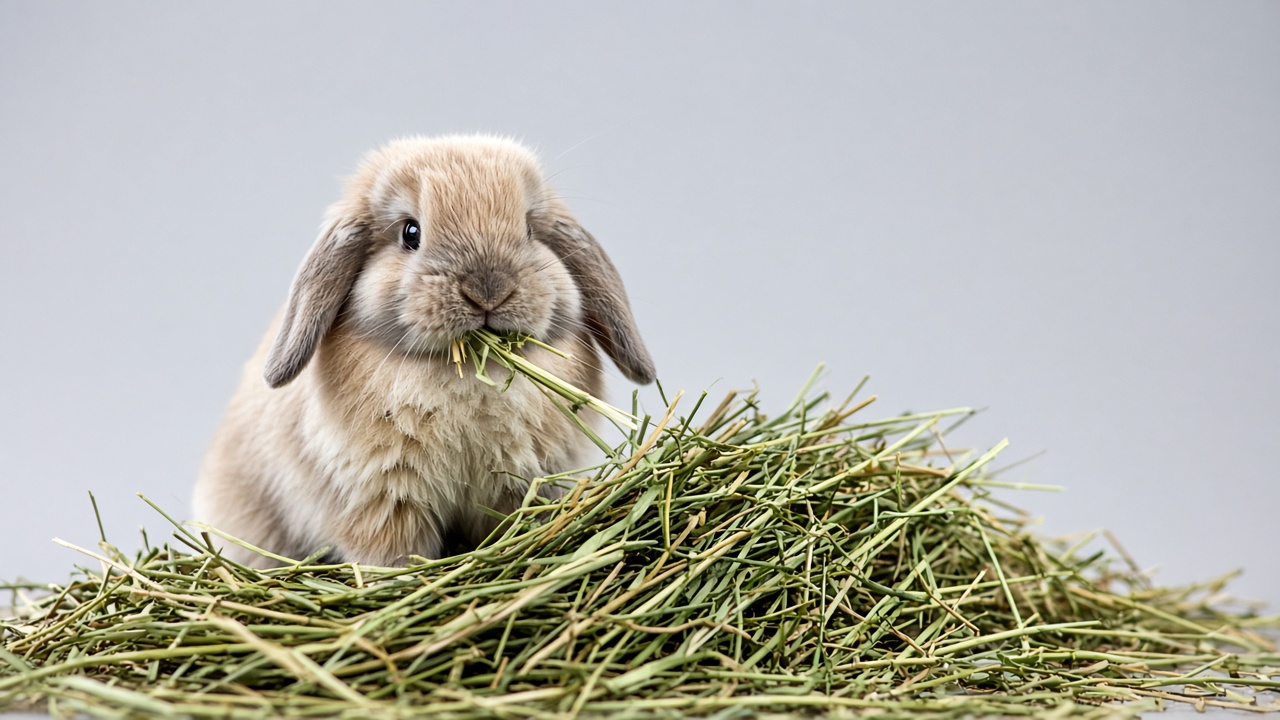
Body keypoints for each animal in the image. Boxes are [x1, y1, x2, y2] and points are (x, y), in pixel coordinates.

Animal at [193, 135, 655, 568]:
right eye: (410, 233)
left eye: (528, 228)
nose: (487, 290)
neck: (466, 374)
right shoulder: (385, 499)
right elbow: (396, 552)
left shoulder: (524, 483)